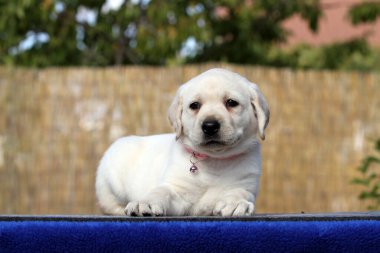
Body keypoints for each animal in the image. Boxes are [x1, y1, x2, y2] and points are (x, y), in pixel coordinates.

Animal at [95, 68, 268, 216]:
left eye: (231, 103)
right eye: (194, 105)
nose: (210, 126)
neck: (214, 160)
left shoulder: (246, 183)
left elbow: (240, 191)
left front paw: (235, 203)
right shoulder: (177, 190)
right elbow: (161, 192)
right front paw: (145, 202)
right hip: (111, 179)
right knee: (109, 205)